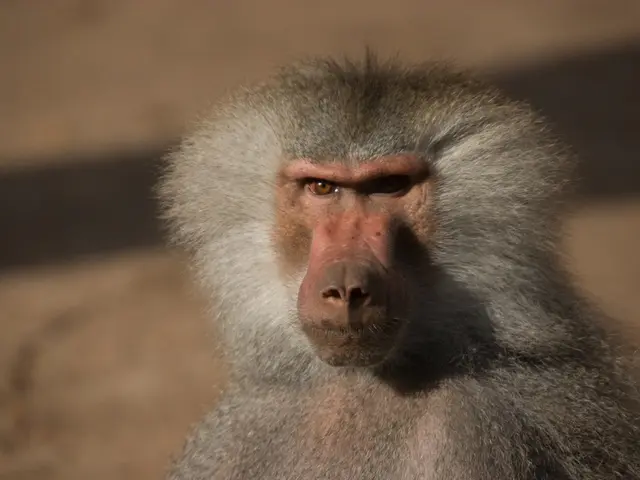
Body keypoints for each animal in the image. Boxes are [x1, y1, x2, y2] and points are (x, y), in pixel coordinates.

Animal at [159, 55, 640, 479]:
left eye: (389, 186)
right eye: (321, 187)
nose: (347, 289)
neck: (362, 381)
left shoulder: (478, 428)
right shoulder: (236, 430)